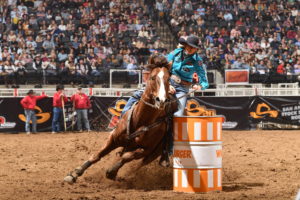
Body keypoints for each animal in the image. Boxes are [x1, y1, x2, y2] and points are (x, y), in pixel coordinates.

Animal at [62, 55, 176, 184]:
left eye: (168, 79)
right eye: (152, 77)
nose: (161, 100)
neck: (141, 120)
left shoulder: (146, 150)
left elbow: (126, 157)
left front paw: (112, 172)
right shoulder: (113, 139)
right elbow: (97, 155)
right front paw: (75, 174)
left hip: (154, 153)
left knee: (139, 165)